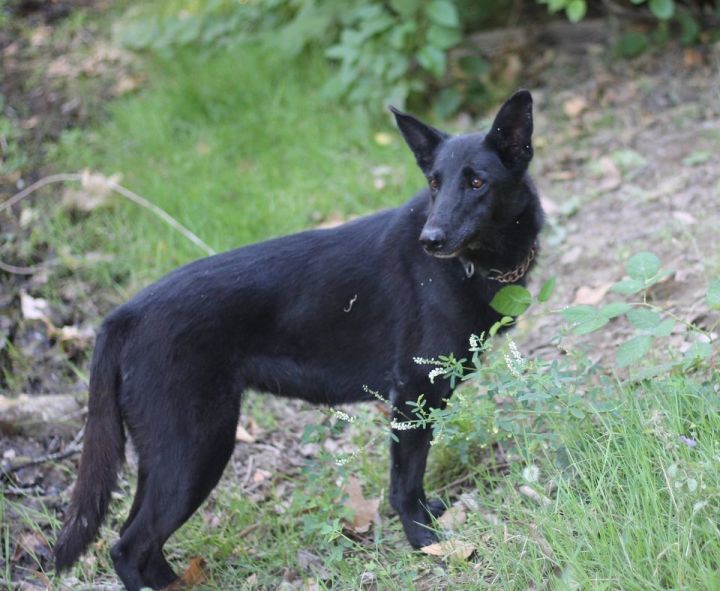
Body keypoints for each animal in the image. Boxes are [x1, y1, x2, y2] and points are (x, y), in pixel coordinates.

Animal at [54, 90, 540, 588]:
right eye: (435, 184)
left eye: (477, 182)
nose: (431, 240)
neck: (471, 267)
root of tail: (123, 315)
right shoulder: (412, 393)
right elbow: (406, 482)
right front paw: (426, 541)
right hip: (195, 450)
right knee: (127, 549)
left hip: (170, 457)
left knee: (140, 545)